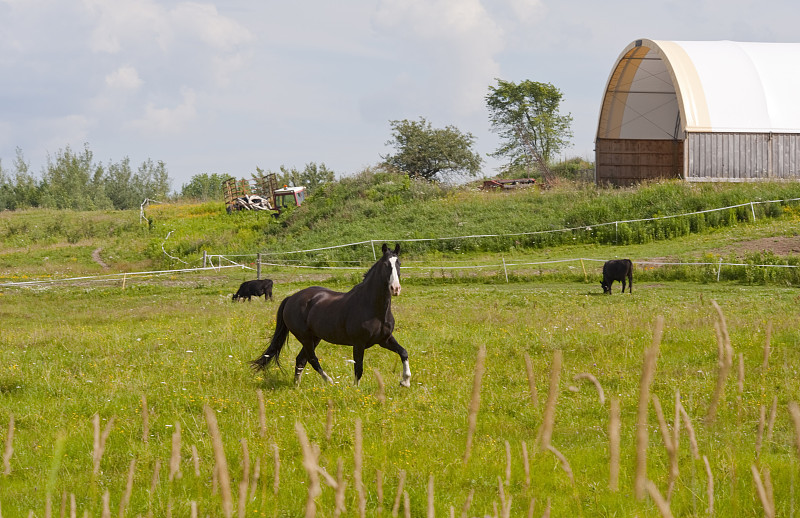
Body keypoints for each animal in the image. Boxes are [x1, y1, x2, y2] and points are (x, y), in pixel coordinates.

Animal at [250, 246, 412, 388]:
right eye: (386, 264)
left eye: (399, 263)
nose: (395, 289)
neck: (374, 309)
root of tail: (291, 298)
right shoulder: (359, 343)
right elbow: (358, 368)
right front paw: (356, 390)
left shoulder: (384, 339)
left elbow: (403, 352)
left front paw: (405, 381)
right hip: (305, 338)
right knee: (312, 359)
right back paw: (329, 381)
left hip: (314, 338)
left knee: (301, 360)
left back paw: (296, 386)